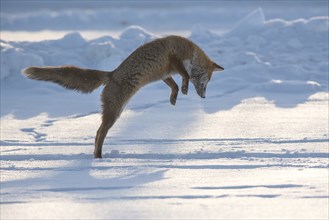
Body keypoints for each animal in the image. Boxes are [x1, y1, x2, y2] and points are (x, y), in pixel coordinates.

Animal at [22, 35, 223, 157]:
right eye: (207, 81)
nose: (204, 97)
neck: (191, 52)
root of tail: (111, 74)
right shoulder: (173, 58)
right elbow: (185, 75)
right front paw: (184, 88)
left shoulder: (164, 73)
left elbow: (174, 84)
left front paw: (174, 96)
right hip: (114, 112)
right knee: (99, 133)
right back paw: (99, 158)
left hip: (116, 111)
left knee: (97, 134)